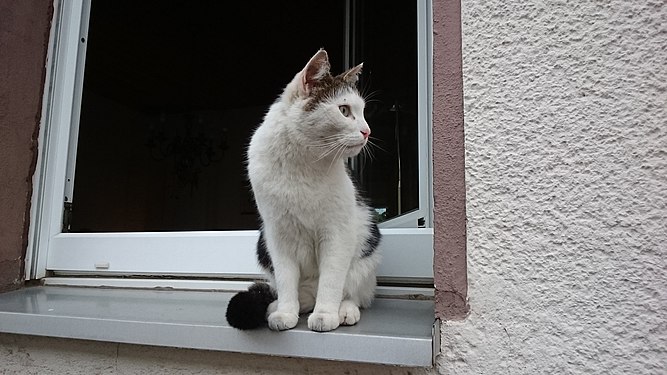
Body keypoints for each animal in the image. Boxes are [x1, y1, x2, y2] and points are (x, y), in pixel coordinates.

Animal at [224, 49, 380, 332]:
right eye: (344, 110)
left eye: (363, 112)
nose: (367, 131)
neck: (304, 162)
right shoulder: (277, 234)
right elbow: (286, 279)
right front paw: (285, 312)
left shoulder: (337, 232)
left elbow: (331, 281)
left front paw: (325, 314)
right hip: (263, 244)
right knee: (300, 289)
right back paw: (288, 305)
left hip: (366, 245)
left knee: (352, 291)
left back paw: (344, 310)